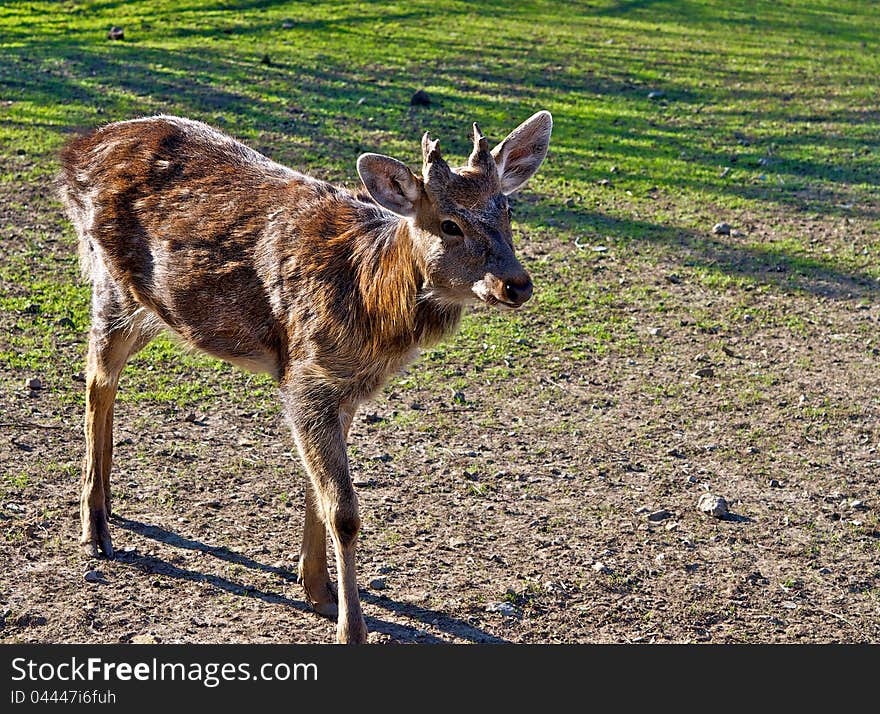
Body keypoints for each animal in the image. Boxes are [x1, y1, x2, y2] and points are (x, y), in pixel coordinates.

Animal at [56, 108, 552, 644]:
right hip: (111, 283)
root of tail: (75, 152)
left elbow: (320, 492)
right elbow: (345, 511)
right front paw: (350, 627)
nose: (516, 284)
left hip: (149, 309)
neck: (371, 297)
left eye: (508, 211)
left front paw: (317, 588)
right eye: (449, 224)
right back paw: (95, 527)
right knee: (97, 379)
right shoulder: (306, 375)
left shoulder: (344, 390)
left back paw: (105, 509)